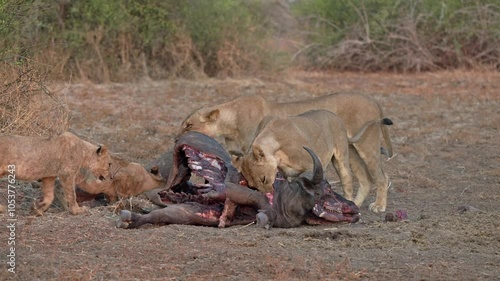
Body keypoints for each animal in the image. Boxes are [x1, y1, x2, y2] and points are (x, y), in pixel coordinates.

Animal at [231, 108, 390, 202]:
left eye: (264, 179)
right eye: (253, 185)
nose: (268, 196)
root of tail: (336, 117)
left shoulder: (310, 163)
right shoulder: (285, 174)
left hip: (341, 156)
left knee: (348, 180)